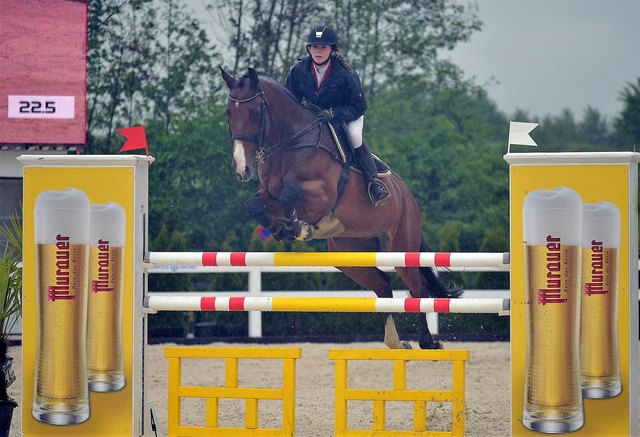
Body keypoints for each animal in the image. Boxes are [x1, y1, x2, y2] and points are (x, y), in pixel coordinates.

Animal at [220, 66, 460, 350]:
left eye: (256, 112)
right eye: (228, 114)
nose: (241, 169)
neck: (290, 143)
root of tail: (408, 197)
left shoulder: (322, 195)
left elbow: (291, 193)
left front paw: (298, 227)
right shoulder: (269, 195)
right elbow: (255, 204)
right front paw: (281, 229)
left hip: (401, 247)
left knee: (417, 287)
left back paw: (427, 342)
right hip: (350, 254)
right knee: (383, 285)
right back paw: (395, 342)